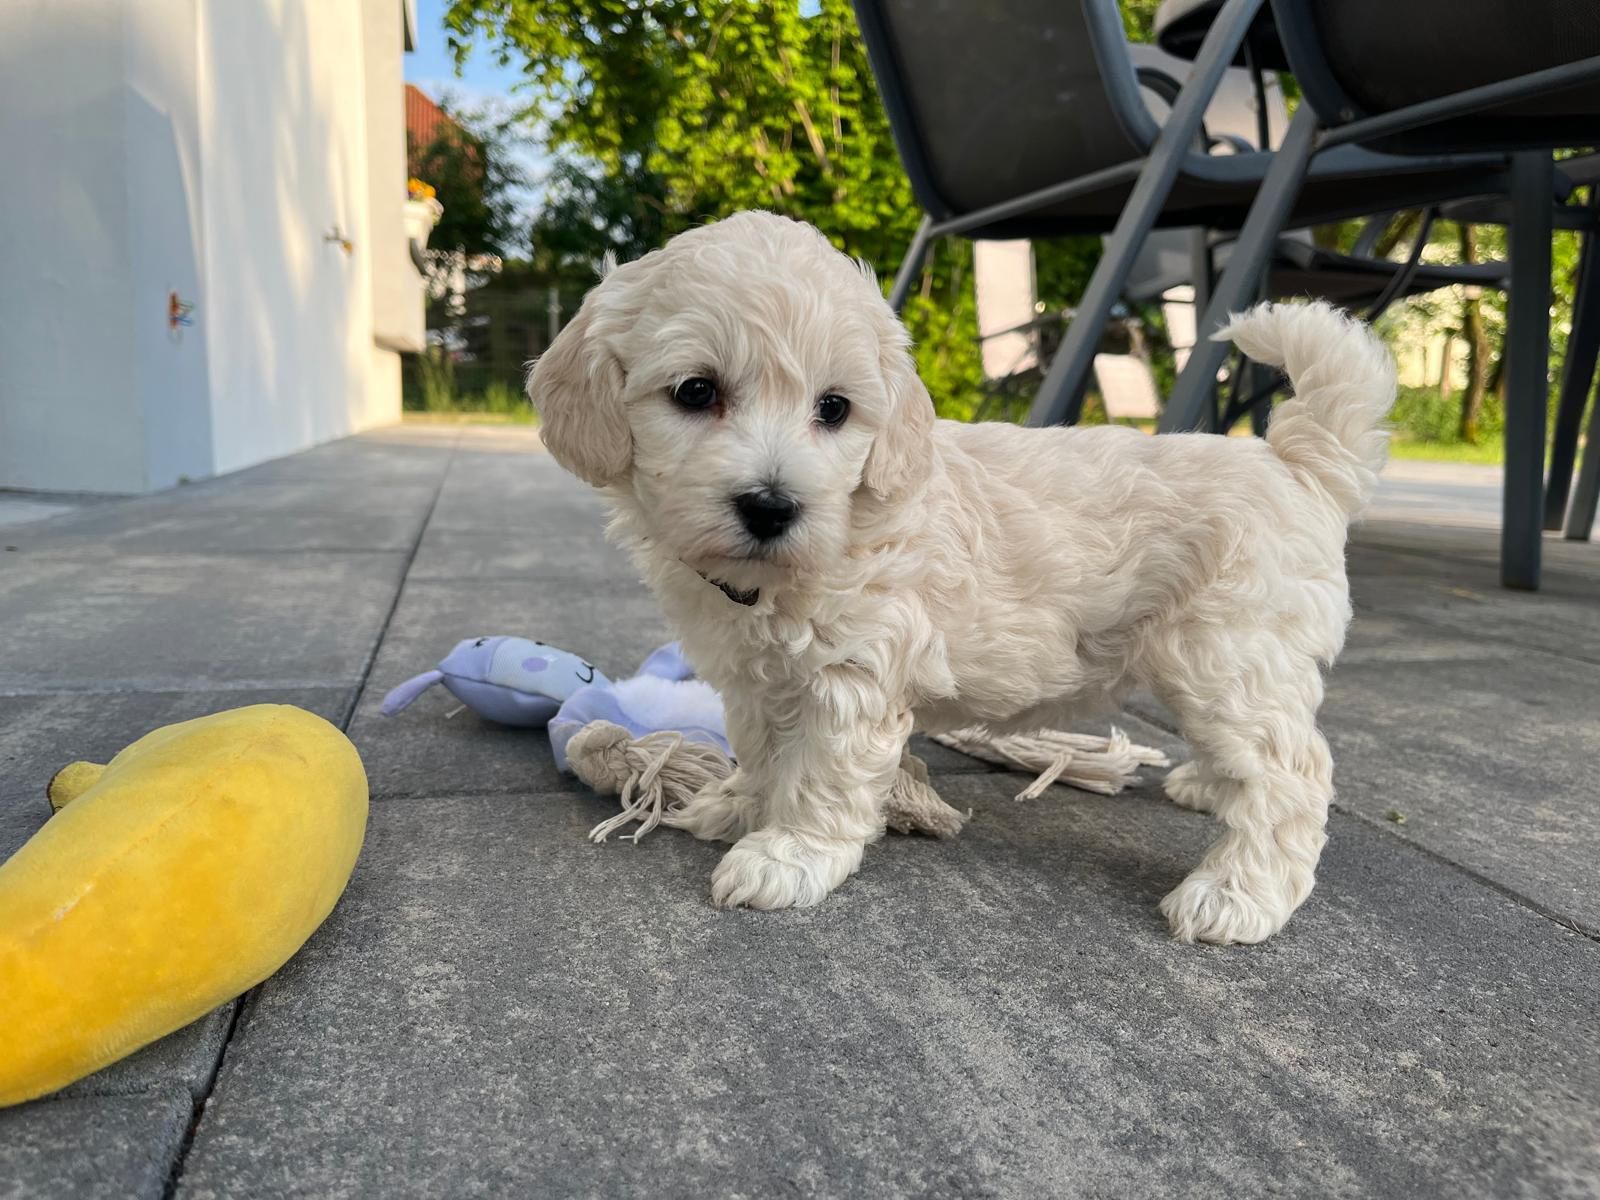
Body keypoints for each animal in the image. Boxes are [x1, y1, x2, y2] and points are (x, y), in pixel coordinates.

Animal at [531, 214, 1395, 947]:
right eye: (696, 392)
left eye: (835, 409)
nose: (772, 506)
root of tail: (1296, 462)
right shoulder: (756, 679)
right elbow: (767, 751)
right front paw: (742, 805)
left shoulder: (853, 674)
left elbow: (819, 772)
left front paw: (789, 856)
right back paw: (1208, 789)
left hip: (1231, 657)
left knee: (1291, 777)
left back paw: (1237, 896)